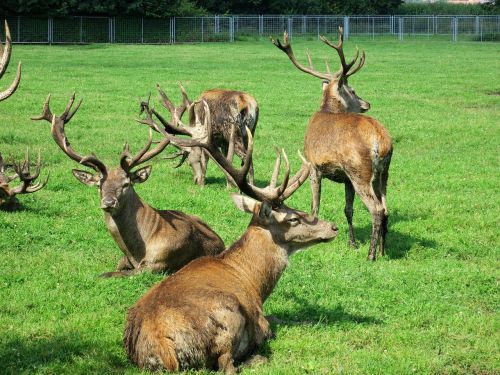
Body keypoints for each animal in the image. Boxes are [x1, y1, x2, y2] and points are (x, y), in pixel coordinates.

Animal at [31, 93, 225, 276]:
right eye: (99, 185)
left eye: (126, 183)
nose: (108, 202)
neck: (136, 252)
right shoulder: (124, 259)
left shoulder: (157, 263)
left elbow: (108, 274)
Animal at [124, 100, 340, 375]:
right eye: (293, 218)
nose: (333, 227)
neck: (255, 283)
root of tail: (163, 346)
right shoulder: (259, 318)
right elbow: (273, 324)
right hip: (228, 317)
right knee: (227, 364)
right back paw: (257, 359)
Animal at [272, 26, 392, 262]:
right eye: (353, 91)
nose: (366, 103)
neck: (327, 110)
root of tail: (380, 141)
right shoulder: (345, 177)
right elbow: (348, 209)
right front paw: (352, 243)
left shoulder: (313, 165)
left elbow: (314, 205)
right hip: (383, 172)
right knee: (386, 207)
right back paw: (383, 250)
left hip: (359, 169)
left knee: (376, 209)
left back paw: (371, 255)